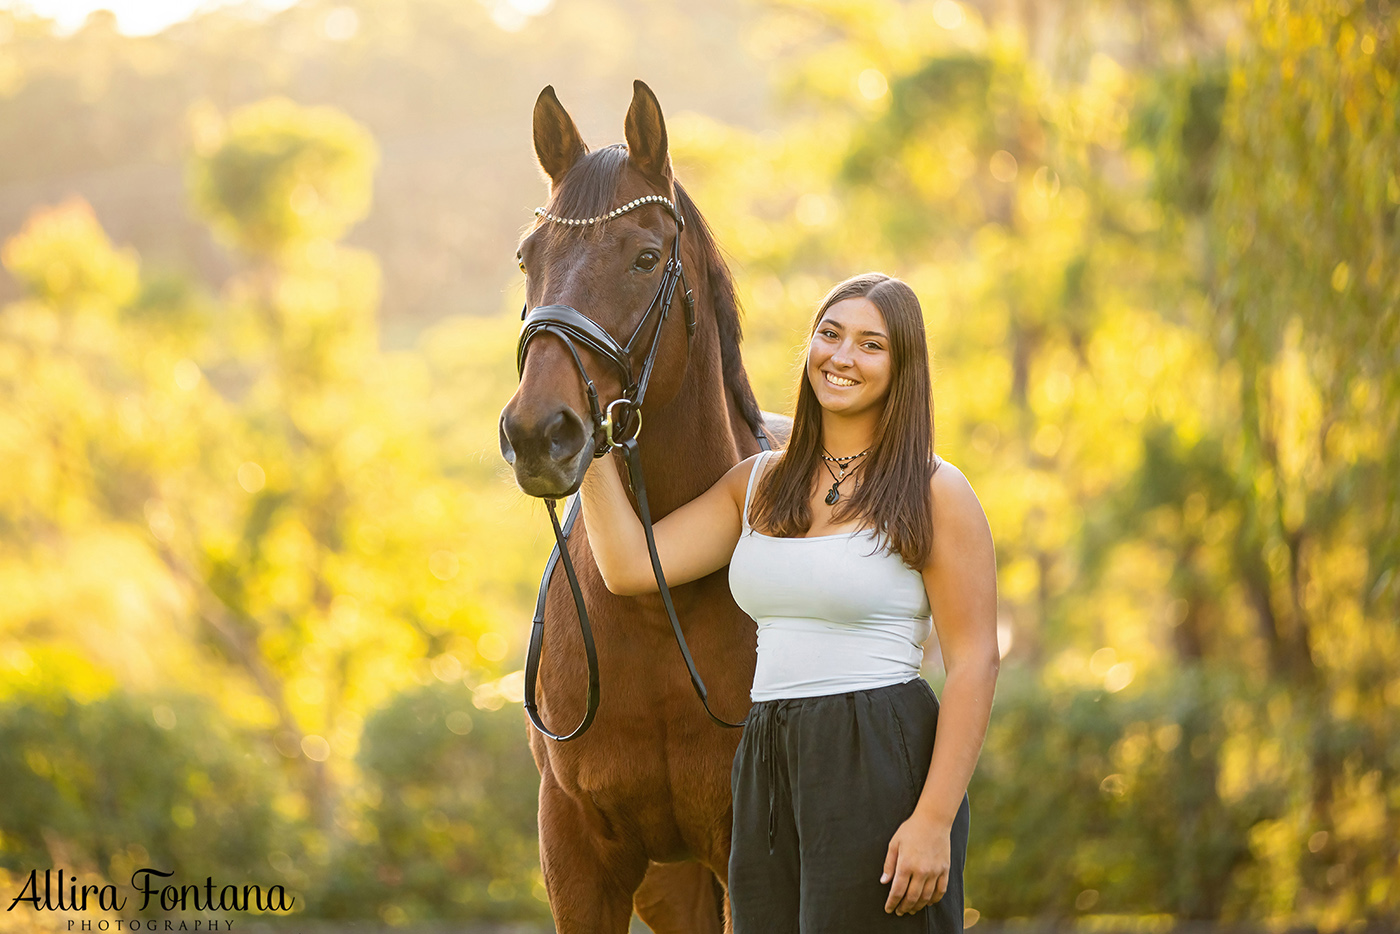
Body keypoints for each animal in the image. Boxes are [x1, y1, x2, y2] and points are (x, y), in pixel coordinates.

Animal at [501, 82, 789, 934]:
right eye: (527, 258)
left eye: (645, 257)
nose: (538, 434)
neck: (661, 611)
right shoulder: (579, 858)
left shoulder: (744, 851)